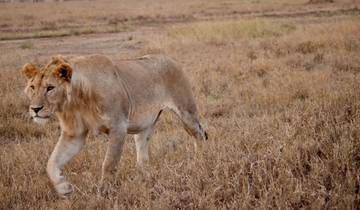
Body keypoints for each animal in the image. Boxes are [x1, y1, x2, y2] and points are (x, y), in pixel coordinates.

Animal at [21, 54, 208, 197]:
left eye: (50, 88)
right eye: (32, 87)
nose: (35, 109)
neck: (76, 100)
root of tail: (170, 59)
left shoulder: (118, 127)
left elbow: (109, 163)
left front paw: (104, 192)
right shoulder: (74, 134)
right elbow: (52, 162)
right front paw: (63, 188)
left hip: (186, 114)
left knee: (200, 134)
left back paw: (201, 161)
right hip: (144, 126)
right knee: (143, 154)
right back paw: (143, 176)